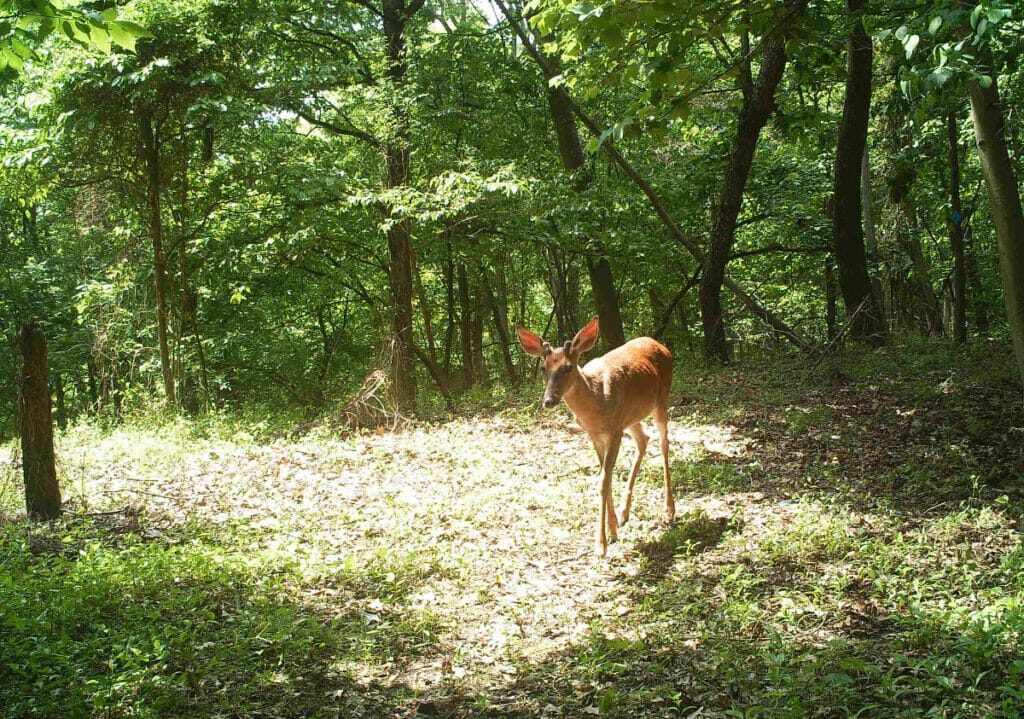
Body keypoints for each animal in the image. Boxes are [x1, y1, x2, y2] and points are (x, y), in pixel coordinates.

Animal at [516, 317, 675, 561]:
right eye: (544, 368)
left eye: (568, 367)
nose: (549, 401)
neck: (595, 398)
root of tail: (661, 345)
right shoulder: (595, 434)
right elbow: (605, 478)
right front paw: (613, 530)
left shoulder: (614, 431)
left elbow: (602, 482)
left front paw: (601, 545)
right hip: (631, 417)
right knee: (643, 438)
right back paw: (625, 513)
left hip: (661, 398)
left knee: (663, 443)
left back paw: (669, 511)